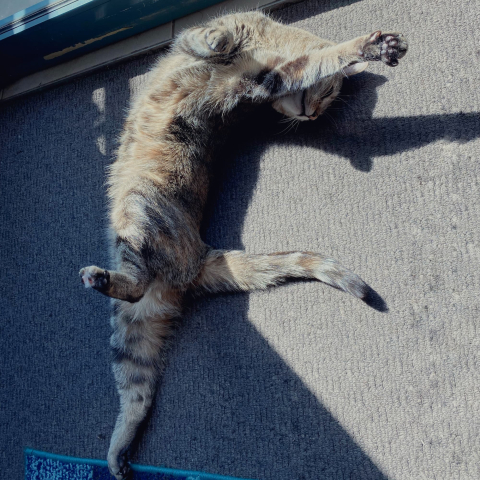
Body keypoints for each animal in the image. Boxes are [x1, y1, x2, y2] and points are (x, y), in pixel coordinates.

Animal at [79, 10, 408, 476]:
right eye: (327, 96)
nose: (313, 116)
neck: (268, 43)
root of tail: (197, 259)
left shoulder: (260, 82)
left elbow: (323, 56)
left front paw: (372, 47)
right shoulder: (226, 48)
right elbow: (214, 36)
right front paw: (221, 43)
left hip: (139, 213)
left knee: (135, 286)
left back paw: (99, 278)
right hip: (130, 333)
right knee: (137, 394)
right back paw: (117, 455)